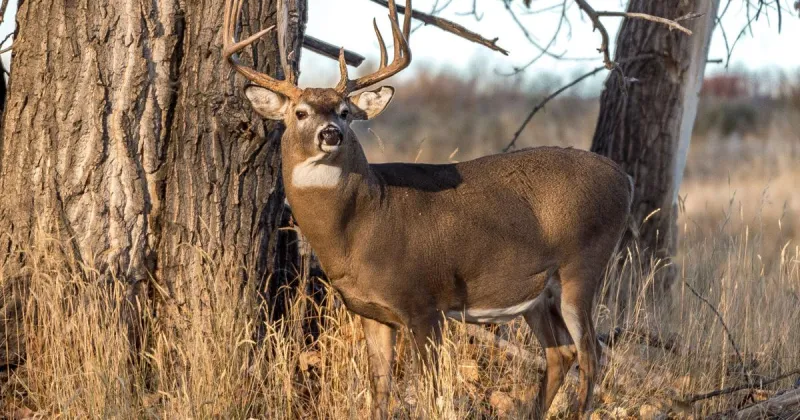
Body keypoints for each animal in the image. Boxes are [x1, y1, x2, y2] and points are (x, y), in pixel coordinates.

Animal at [222, 0, 632, 418]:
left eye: (344, 111)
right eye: (301, 112)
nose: (331, 133)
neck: (360, 226)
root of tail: (623, 177)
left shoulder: (424, 301)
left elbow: (433, 391)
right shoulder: (371, 312)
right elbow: (380, 390)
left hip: (582, 265)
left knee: (591, 353)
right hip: (537, 292)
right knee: (561, 352)